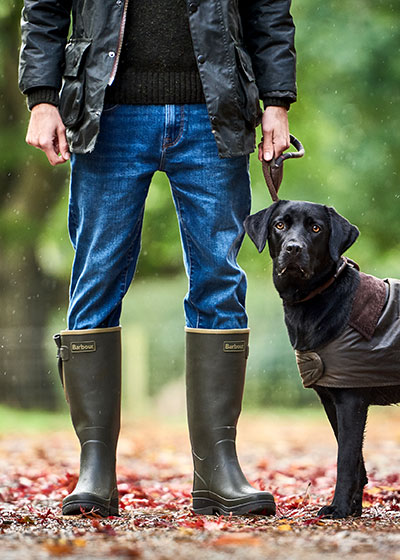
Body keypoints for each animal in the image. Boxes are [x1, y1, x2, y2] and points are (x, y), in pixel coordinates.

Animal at [244, 199, 400, 520]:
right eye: (280, 225)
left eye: (316, 228)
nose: (293, 248)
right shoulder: (331, 398)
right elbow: (356, 461)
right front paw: (353, 508)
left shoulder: (351, 399)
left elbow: (345, 459)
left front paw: (339, 507)